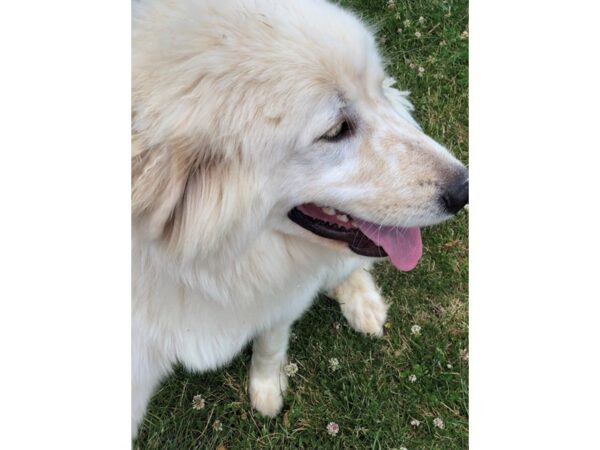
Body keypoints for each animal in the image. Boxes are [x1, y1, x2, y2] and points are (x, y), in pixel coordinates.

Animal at [132, 0, 468, 438]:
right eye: (336, 130)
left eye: (377, 92)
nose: (465, 189)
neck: (209, 264)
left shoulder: (282, 301)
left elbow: (270, 345)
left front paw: (267, 390)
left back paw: (364, 305)